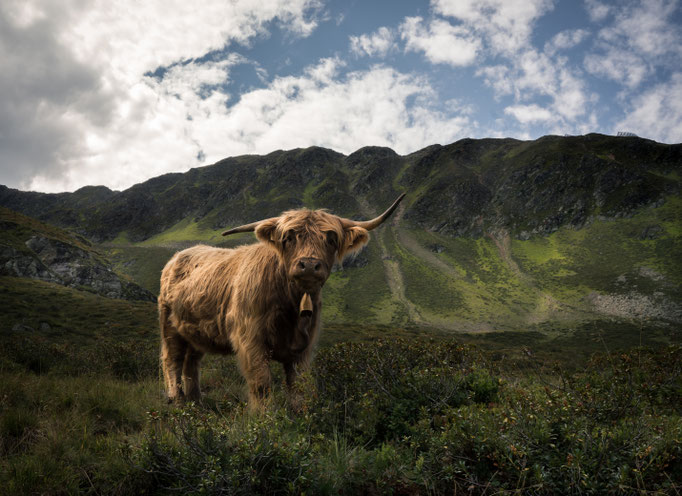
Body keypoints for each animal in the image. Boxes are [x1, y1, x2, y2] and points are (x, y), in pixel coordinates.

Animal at [158, 193, 404, 406]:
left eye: (331, 239)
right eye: (289, 238)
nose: (309, 265)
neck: (290, 303)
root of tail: (178, 256)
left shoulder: (304, 349)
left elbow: (299, 388)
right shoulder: (251, 341)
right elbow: (262, 385)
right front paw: (265, 421)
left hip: (195, 331)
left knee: (191, 363)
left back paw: (196, 402)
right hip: (169, 326)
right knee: (172, 359)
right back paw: (177, 400)